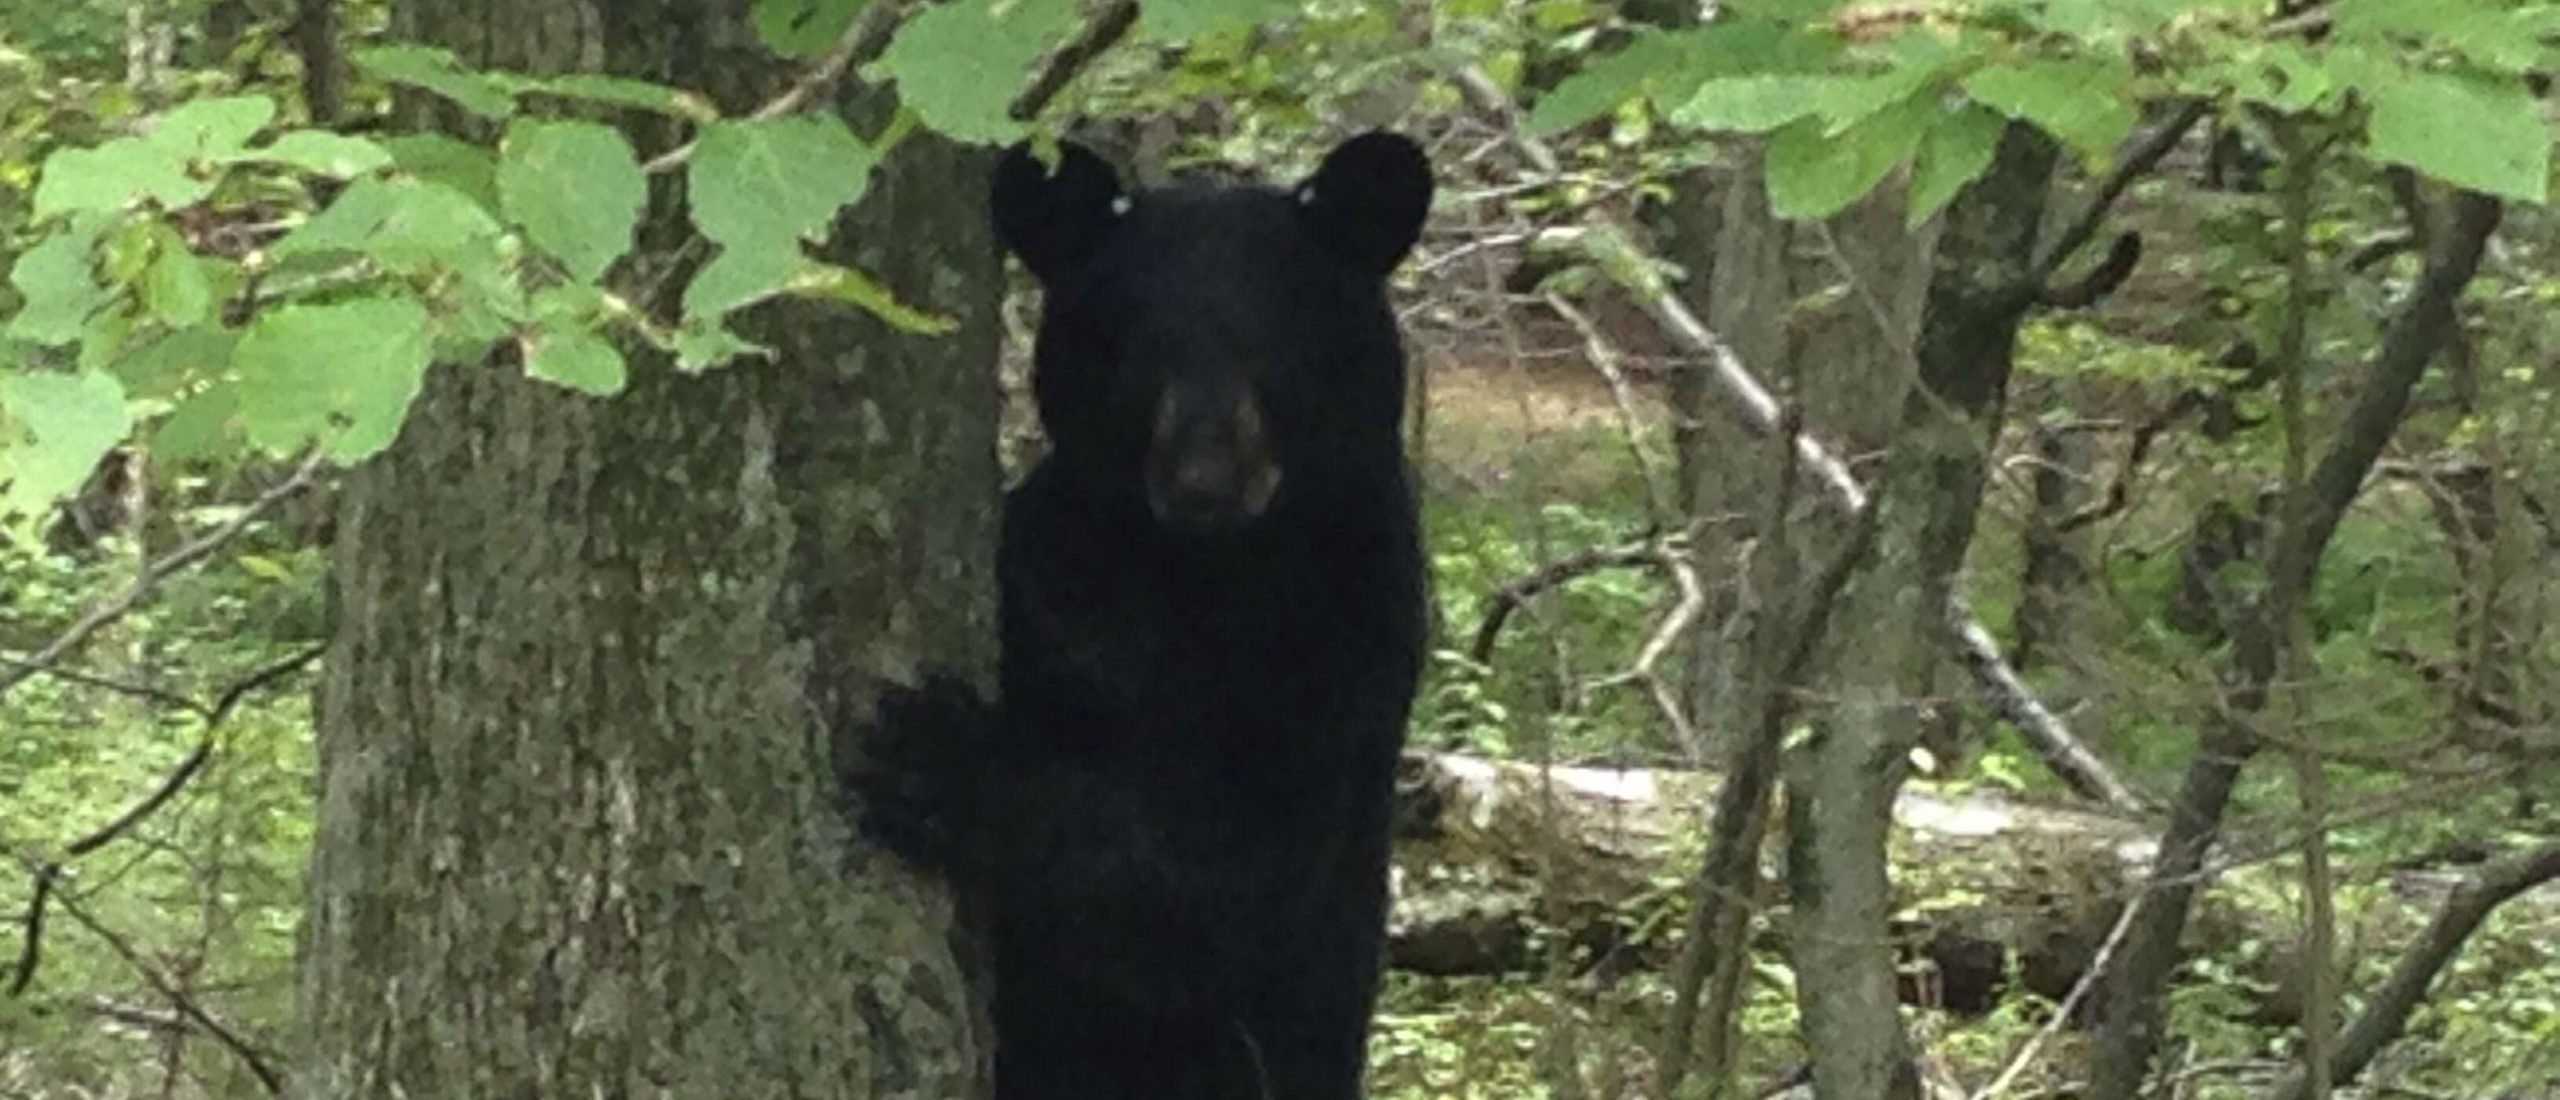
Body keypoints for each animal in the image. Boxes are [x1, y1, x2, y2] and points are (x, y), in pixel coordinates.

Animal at [849, 131, 1433, 1100]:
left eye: (1275, 348)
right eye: (1138, 352)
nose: (1203, 483)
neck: (1192, 573)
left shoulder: (1344, 642)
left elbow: (1215, 885)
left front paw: (936, 754)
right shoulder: (1055, 563)